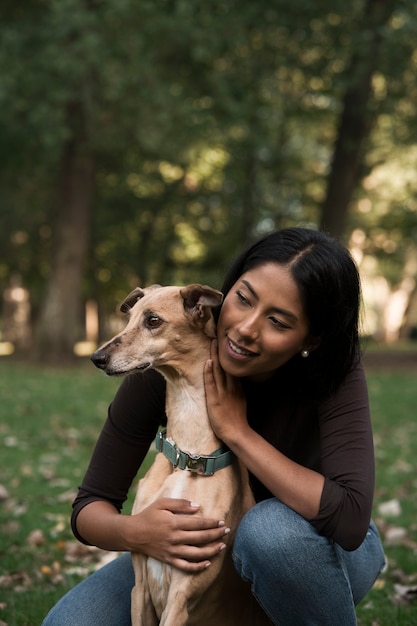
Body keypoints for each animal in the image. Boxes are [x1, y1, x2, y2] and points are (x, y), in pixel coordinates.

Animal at [91, 284, 270, 624]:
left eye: (153, 320)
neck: (187, 456)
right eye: (129, 317)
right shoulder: (140, 589)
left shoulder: (181, 596)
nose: (97, 357)